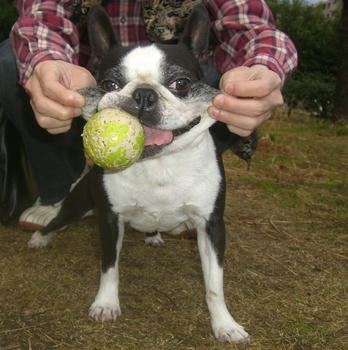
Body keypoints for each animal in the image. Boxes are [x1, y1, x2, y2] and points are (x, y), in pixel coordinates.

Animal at [27, 4, 250, 344]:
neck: (158, 163)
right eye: (110, 85)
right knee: (58, 219)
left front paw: (224, 324)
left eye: (181, 84)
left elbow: (214, 284)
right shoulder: (109, 218)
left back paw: (153, 235)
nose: (144, 95)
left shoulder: (211, 225)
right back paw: (41, 236)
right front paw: (106, 304)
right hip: (79, 205)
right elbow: (109, 267)